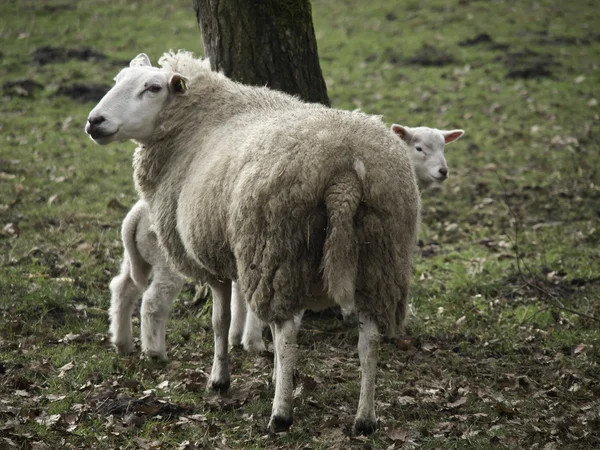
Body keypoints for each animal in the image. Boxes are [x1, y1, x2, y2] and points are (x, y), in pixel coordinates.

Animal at [85, 51, 422, 434]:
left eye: (153, 87)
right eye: (116, 81)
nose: (94, 121)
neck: (198, 119)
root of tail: (346, 174)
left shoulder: (213, 259)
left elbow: (220, 320)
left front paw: (220, 379)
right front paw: (267, 367)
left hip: (276, 247)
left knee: (287, 335)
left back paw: (281, 414)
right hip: (377, 256)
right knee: (369, 339)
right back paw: (365, 418)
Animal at [109, 123, 464, 362]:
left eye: (444, 146)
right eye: (419, 148)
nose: (444, 171)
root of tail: (134, 219)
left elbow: (241, 297)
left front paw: (239, 336)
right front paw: (253, 341)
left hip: (137, 258)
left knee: (124, 286)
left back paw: (123, 342)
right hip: (170, 262)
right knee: (153, 301)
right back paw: (155, 351)